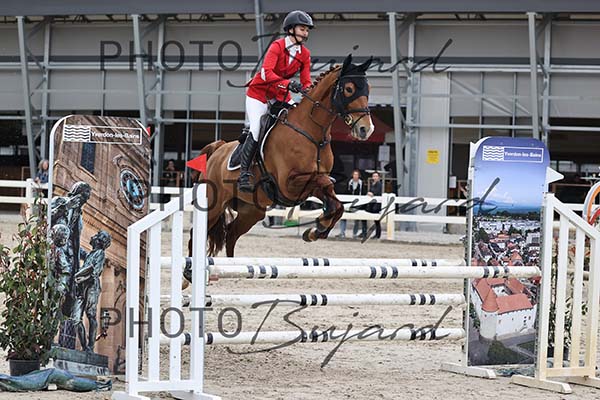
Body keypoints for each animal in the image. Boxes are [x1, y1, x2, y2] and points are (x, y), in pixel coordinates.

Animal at [195, 54, 374, 257]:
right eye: (349, 89)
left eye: (368, 89)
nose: (366, 129)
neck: (312, 133)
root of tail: (217, 150)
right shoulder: (288, 184)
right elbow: (325, 182)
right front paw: (317, 228)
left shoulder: (310, 186)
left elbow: (336, 202)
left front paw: (316, 231)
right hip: (213, 204)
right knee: (196, 236)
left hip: (252, 210)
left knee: (231, 235)